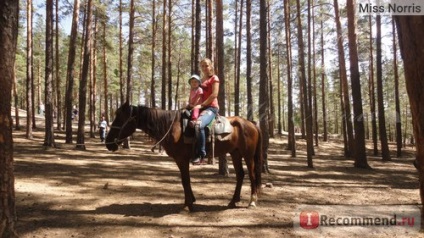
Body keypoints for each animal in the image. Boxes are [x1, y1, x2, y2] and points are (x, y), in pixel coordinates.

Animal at [105, 102, 262, 210]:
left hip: (248, 155)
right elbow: (185, 180)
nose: (108, 142)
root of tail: (251, 123)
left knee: (252, 175)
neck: (173, 127)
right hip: (235, 153)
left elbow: (185, 181)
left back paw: (252, 201)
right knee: (240, 175)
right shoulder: (180, 160)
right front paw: (191, 200)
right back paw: (233, 201)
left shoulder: (182, 159)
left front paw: (188, 205)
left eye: (120, 118)